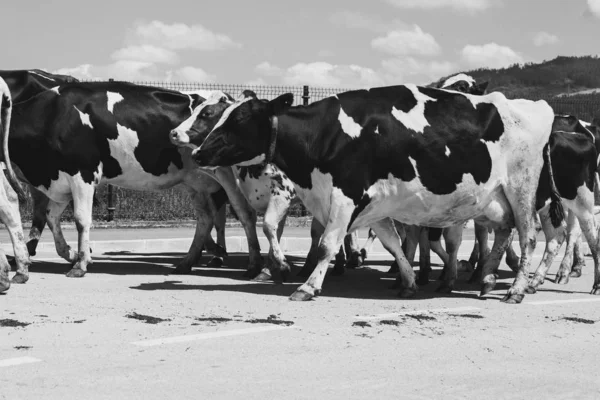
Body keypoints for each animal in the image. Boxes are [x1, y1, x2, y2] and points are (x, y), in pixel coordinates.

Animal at [5, 80, 262, 282]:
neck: (54, 115)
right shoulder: (60, 179)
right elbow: (51, 217)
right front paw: (71, 254)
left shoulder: (83, 173)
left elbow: (80, 220)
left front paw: (80, 264)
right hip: (194, 181)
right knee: (206, 218)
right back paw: (188, 262)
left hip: (229, 175)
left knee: (244, 213)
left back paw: (253, 266)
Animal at [193, 84, 564, 304]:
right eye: (219, 116)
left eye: (239, 118)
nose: (198, 153)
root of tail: (538, 107)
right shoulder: (374, 204)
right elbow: (393, 244)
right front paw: (409, 281)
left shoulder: (346, 195)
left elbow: (327, 244)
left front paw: (307, 286)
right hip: (495, 199)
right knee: (504, 233)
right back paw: (486, 280)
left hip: (523, 189)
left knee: (529, 237)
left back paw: (517, 289)